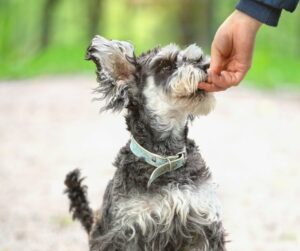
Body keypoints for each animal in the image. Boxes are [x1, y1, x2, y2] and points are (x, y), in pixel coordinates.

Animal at [64, 35, 226, 251]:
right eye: (165, 65)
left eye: (197, 57)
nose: (207, 65)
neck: (166, 158)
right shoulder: (126, 231)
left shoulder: (202, 222)